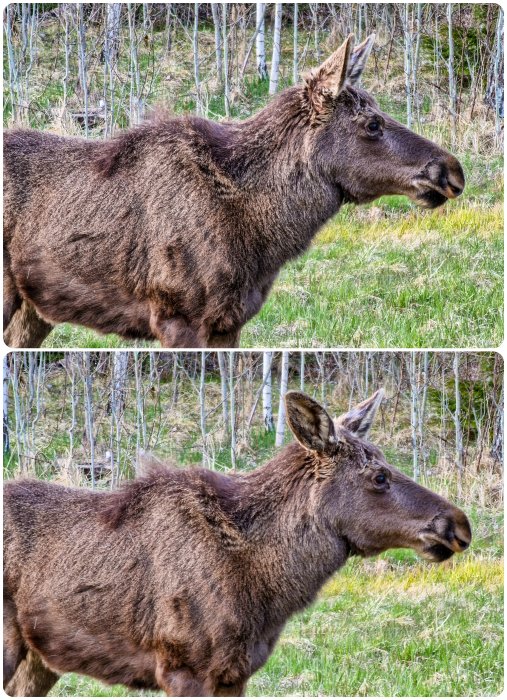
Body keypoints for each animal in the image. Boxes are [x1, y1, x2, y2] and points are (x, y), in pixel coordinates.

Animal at [2, 34, 464, 348]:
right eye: (372, 123)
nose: (452, 170)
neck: (260, 236)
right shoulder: (176, 315)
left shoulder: (229, 322)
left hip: (35, 309)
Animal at [3, 392, 472, 696]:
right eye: (379, 476)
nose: (459, 524)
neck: (265, 588)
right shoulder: (183, 667)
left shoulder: (235, 673)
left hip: (40, 657)